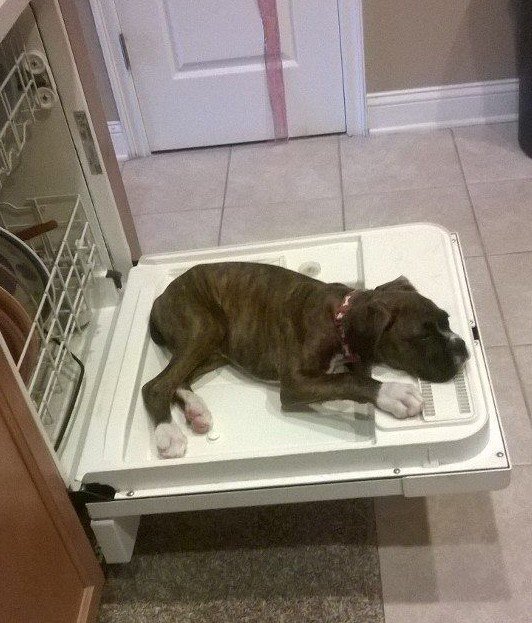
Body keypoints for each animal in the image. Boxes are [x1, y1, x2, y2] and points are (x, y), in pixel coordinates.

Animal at [143, 262, 468, 458]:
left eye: (446, 320)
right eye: (423, 337)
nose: (463, 349)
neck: (339, 318)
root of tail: (159, 297)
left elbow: (351, 374)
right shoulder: (295, 383)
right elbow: (349, 378)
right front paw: (392, 393)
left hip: (217, 349)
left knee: (178, 378)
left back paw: (196, 411)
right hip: (205, 327)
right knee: (156, 385)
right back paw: (168, 433)